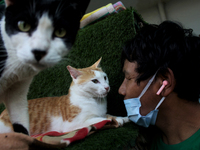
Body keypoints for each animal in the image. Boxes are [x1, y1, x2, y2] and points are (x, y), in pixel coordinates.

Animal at [0, 58, 129, 135]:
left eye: (105, 77)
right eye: (95, 81)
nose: (107, 87)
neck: (94, 101)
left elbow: (107, 115)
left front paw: (122, 117)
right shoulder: (74, 124)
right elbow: (100, 119)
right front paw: (117, 119)